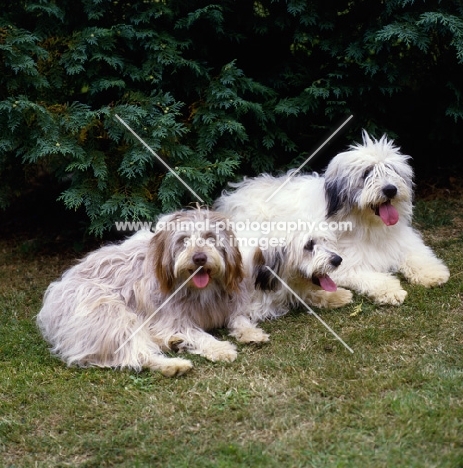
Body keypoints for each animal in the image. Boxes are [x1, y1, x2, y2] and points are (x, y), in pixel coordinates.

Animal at [38, 208, 270, 376]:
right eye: (183, 240)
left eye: (210, 237)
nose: (199, 258)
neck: (201, 291)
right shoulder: (171, 319)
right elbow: (198, 333)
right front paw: (220, 348)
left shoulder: (229, 304)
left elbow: (239, 318)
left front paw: (252, 333)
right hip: (111, 315)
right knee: (136, 355)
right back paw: (173, 365)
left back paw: (175, 344)